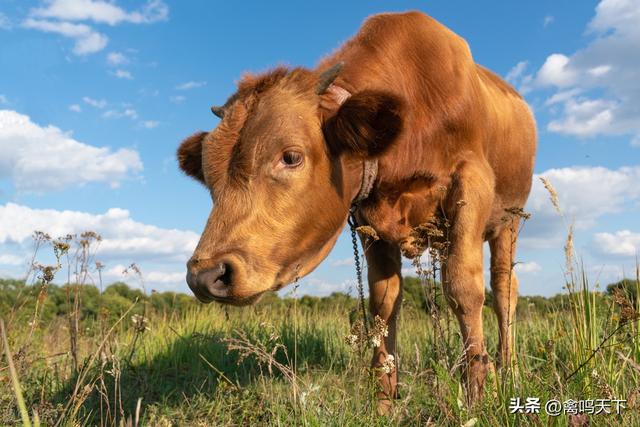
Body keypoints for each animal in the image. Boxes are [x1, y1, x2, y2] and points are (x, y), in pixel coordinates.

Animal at [176, 11, 536, 412]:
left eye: (291, 156)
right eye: (208, 175)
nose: (206, 275)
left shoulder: (471, 183)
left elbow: (463, 288)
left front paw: (477, 397)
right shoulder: (369, 220)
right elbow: (383, 303)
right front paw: (384, 403)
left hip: (509, 221)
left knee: (504, 288)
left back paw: (508, 368)